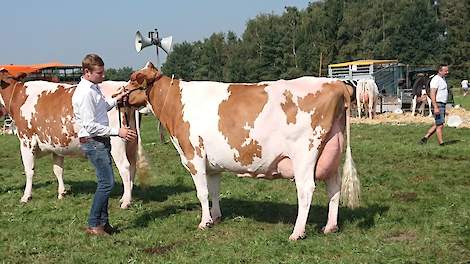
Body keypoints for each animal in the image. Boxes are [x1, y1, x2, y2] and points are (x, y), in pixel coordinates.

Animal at [0, 68, 147, 208]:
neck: (18, 95)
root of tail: (123, 85)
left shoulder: (26, 140)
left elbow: (29, 170)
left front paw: (26, 196)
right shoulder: (56, 144)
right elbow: (58, 169)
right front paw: (61, 193)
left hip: (117, 143)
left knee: (125, 167)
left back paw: (126, 202)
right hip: (131, 142)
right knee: (133, 166)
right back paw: (127, 196)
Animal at [125, 63, 360, 240]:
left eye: (133, 80)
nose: (120, 97)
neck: (176, 105)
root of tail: (336, 83)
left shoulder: (194, 157)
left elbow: (202, 192)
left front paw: (204, 222)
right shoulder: (212, 164)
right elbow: (214, 190)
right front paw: (215, 217)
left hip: (304, 154)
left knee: (306, 190)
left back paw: (297, 232)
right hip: (331, 153)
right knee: (334, 187)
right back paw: (330, 227)